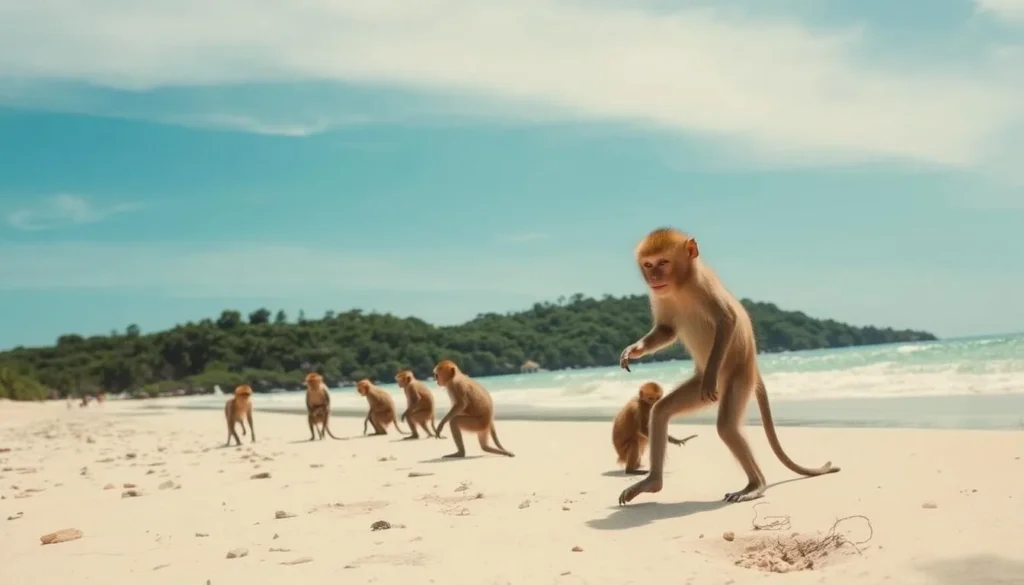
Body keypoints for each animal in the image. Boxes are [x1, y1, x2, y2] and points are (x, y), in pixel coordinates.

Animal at [617, 227, 839, 505]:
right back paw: (652, 482)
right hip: (702, 388)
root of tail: (754, 367)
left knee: (726, 426)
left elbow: (727, 321)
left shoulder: (704, 287)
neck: (680, 285)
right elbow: (667, 330)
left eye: (663, 262)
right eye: (648, 264)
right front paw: (633, 350)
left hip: (738, 379)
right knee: (660, 411)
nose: (654, 277)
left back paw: (756, 484)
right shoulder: (660, 295)